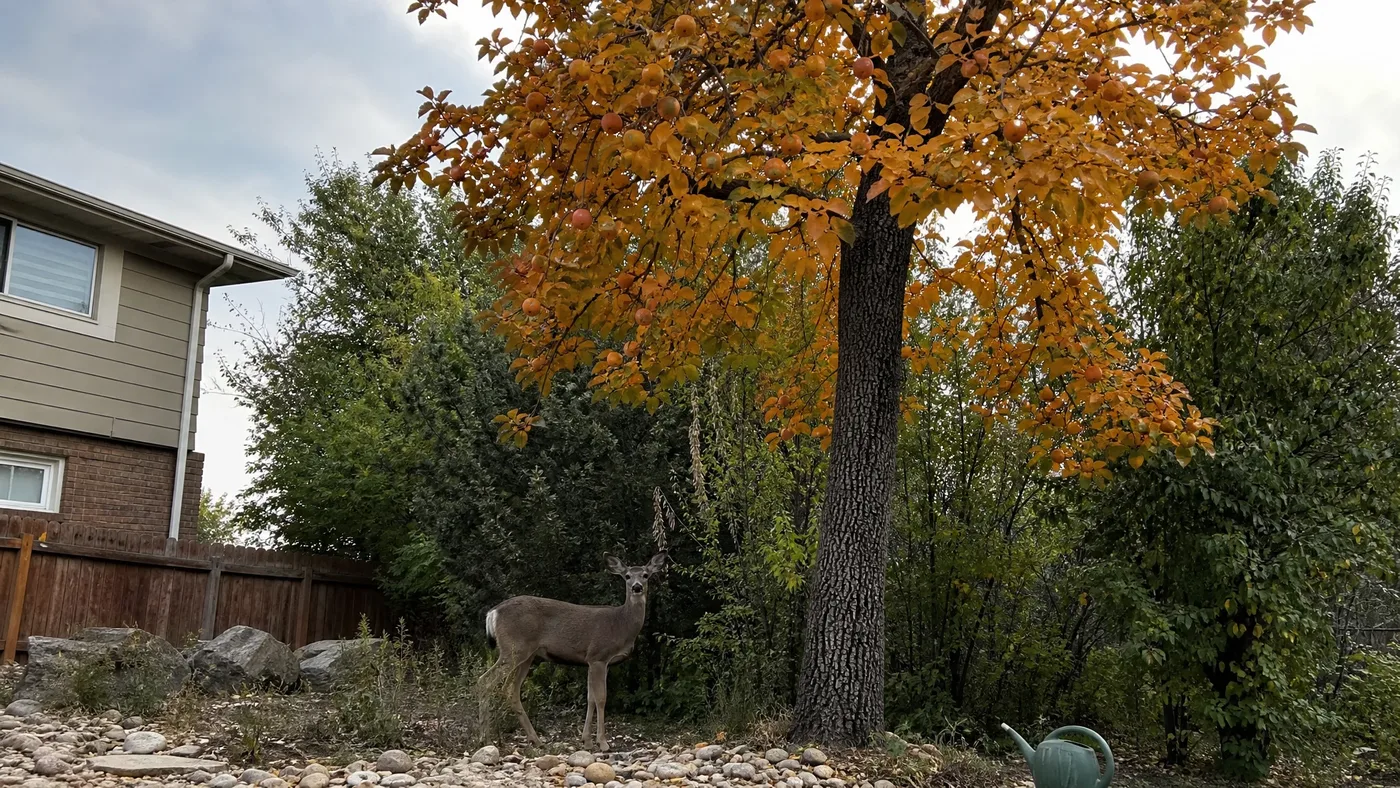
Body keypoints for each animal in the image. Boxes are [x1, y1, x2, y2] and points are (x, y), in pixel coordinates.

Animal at [481, 551, 667, 751]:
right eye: (627, 576)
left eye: (646, 575)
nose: (637, 587)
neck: (620, 625)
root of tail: (493, 613)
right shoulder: (598, 655)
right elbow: (601, 698)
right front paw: (603, 743)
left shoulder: (597, 662)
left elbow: (590, 698)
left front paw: (587, 741)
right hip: (513, 649)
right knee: (485, 681)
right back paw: (485, 738)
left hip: (527, 655)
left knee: (511, 689)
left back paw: (535, 740)